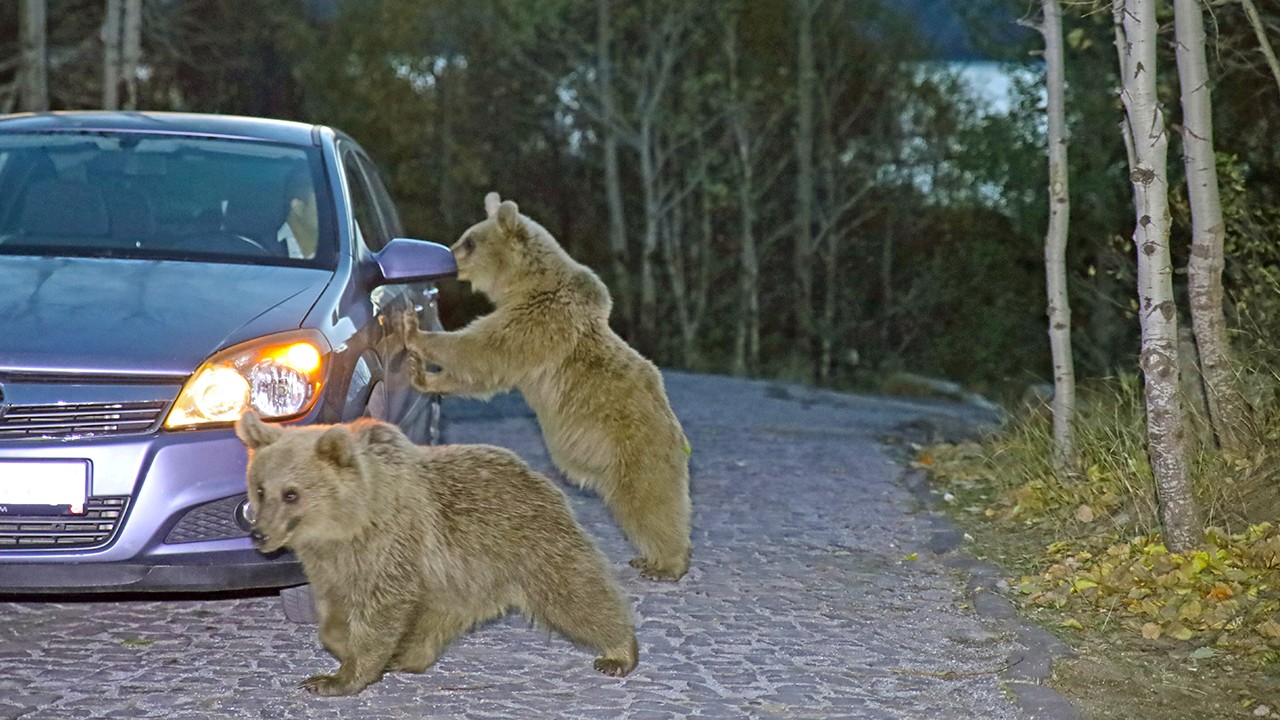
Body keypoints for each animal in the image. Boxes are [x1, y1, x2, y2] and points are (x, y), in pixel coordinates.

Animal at [232, 409, 637, 696]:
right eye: (260, 488)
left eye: (291, 493)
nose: (259, 533)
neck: (347, 524)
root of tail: (539, 476)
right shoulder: (330, 564)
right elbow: (334, 612)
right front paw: (344, 646)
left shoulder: (390, 546)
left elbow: (381, 609)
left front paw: (337, 677)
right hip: (459, 578)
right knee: (436, 620)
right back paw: (407, 656)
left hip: (527, 545)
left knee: (576, 595)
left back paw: (620, 651)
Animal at [404, 193, 696, 579]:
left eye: (469, 242)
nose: (447, 259)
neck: (523, 285)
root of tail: (678, 436)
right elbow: (483, 373)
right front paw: (424, 376)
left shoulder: (539, 322)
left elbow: (481, 349)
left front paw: (413, 332)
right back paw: (649, 558)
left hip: (636, 446)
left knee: (649, 502)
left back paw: (666, 563)